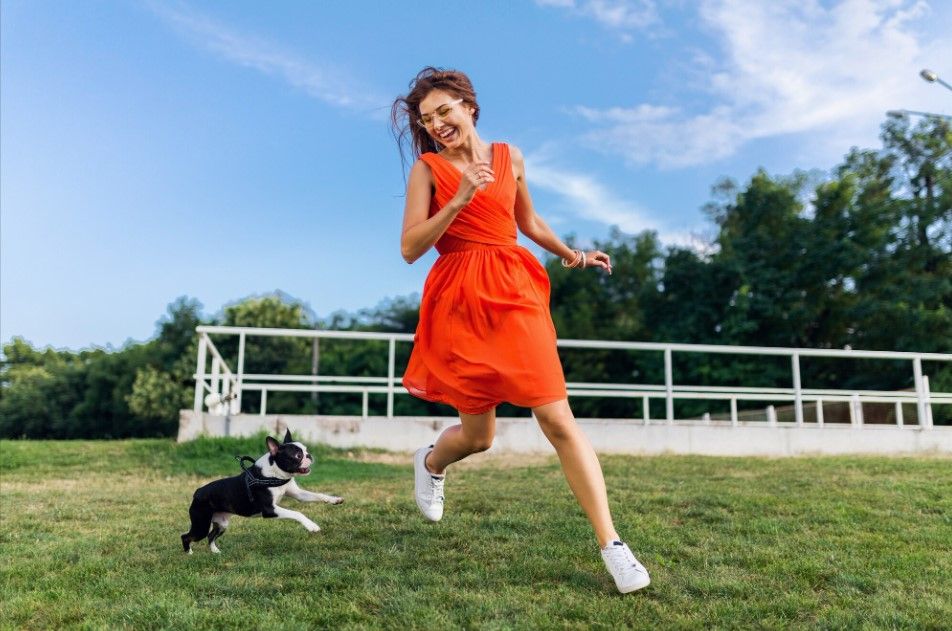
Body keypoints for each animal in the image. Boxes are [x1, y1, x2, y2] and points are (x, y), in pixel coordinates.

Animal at [180, 432, 344, 556]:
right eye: (298, 455)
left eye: (306, 450)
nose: (309, 455)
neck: (275, 474)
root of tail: (197, 492)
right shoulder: (270, 509)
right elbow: (297, 513)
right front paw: (312, 526)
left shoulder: (298, 494)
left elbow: (318, 495)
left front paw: (334, 499)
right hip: (201, 524)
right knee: (186, 536)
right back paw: (189, 553)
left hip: (222, 523)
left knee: (211, 536)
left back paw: (215, 551)